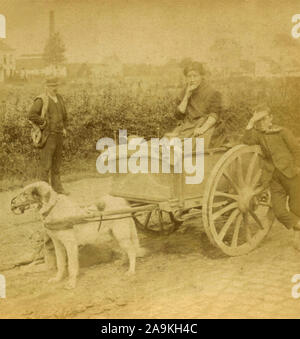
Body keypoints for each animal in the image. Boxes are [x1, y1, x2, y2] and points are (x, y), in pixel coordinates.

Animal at [12, 183, 146, 290]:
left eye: (24, 194)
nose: (12, 202)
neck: (53, 208)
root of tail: (123, 202)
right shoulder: (58, 245)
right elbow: (60, 264)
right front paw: (58, 278)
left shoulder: (70, 245)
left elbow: (71, 266)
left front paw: (71, 283)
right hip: (115, 234)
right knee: (127, 250)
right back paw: (123, 262)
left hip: (121, 234)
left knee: (132, 250)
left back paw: (131, 270)